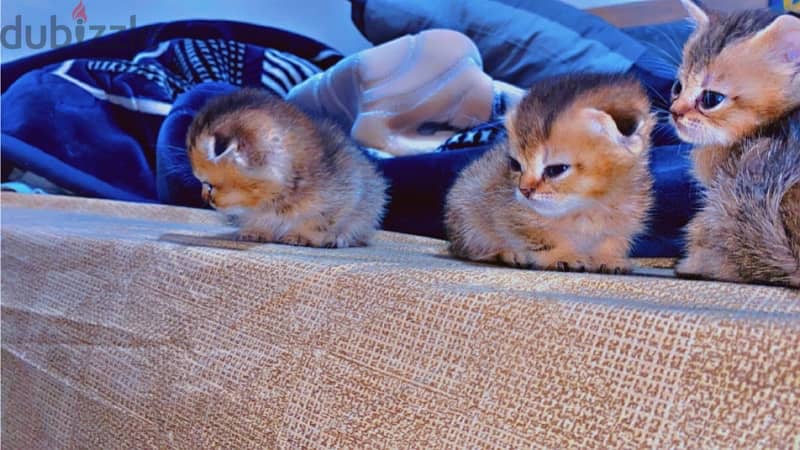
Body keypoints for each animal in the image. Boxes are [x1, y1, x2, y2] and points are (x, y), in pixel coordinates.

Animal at [188, 88, 388, 248]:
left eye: (209, 185)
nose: (204, 198)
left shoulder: (349, 191)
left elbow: (319, 221)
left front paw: (302, 236)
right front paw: (258, 231)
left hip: (372, 200)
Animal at [444, 73, 656, 274]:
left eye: (556, 169)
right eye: (515, 164)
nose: (524, 190)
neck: (588, 206)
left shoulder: (624, 221)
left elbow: (611, 241)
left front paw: (608, 259)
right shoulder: (514, 216)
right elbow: (544, 239)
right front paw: (562, 256)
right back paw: (511, 254)